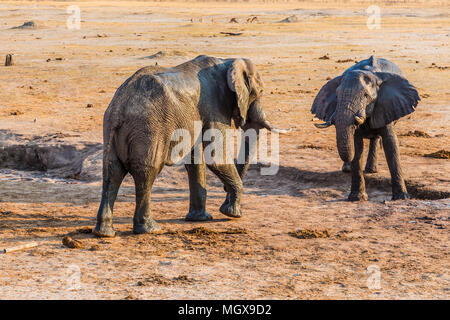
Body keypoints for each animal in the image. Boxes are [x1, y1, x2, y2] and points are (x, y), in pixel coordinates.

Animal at [93, 55, 286, 238]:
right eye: (260, 92)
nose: (226, 196)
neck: (227, 61)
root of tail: (119, 108)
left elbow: (196, 161)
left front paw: (201, 218)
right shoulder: (214, 107)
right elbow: (215, 157)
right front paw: (232, 213)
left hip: (112, 128)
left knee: (112, 172)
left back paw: (104, 233)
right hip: (148, 129)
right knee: (147, 172)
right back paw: (151, 229)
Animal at [312, 55, 420, 200]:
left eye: (365, 96)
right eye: (337, 95)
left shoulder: (387, 105)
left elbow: (391, 143)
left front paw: (401, 197)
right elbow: (357, 145)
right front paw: (356, 198)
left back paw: (370, 170)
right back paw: (349, 169)